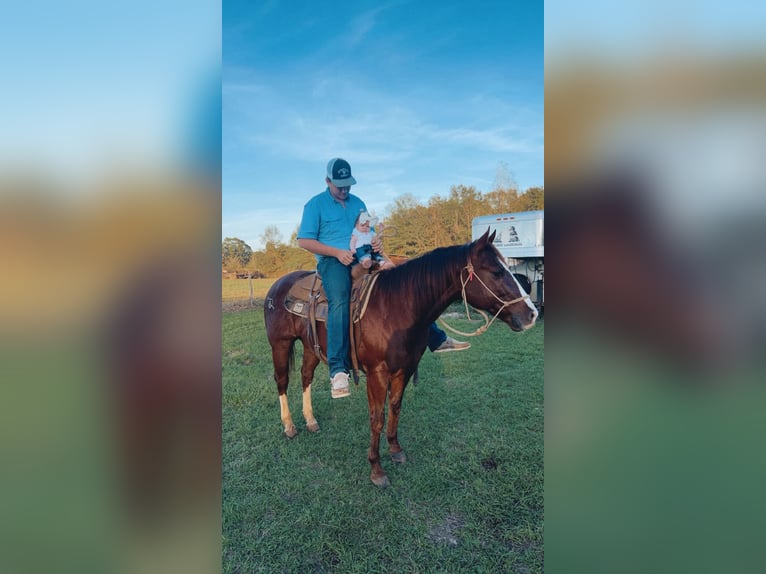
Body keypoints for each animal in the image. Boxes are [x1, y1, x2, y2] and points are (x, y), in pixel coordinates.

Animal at [264, 230, 540, 486]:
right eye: (496, 272)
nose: (532, 314)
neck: (396, 307)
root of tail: (279, 285)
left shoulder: (404, 369)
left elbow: (395, 408)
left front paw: (396, 450)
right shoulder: (376, 373)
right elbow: (377, 418)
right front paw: (376, 469)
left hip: (311, 348)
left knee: (305, 376)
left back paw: (311, 420)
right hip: (280, 344)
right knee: (282, 380)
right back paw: (289, 426)